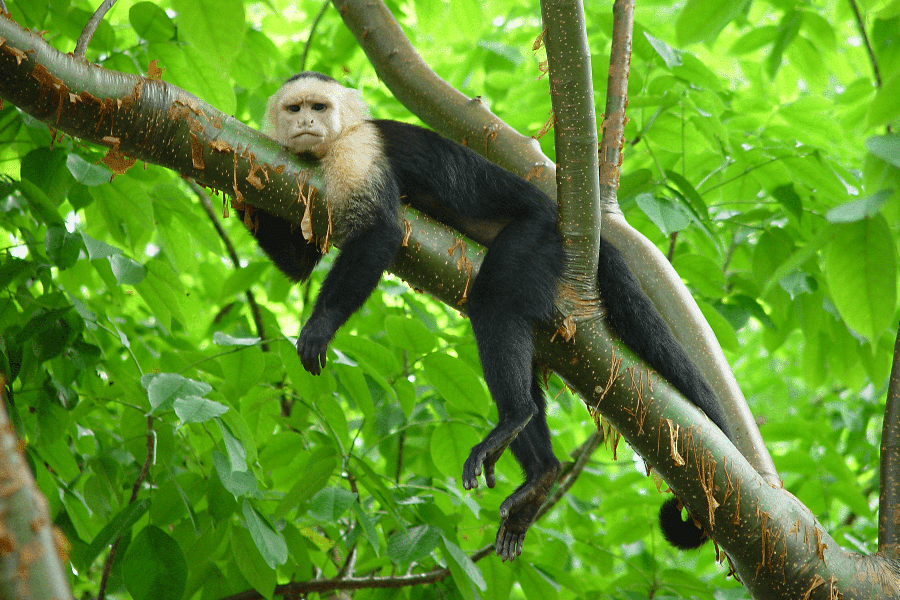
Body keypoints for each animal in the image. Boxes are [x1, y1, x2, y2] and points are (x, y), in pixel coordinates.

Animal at [248, 71, 732, 564]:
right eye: (294, 109)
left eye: (319, 107)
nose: (306, 122)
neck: (333, 144)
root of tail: (567, 226)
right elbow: (299, 264)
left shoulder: (357, 151)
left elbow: (380, 231)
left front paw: (319, 327)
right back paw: (541, 473)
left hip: (536, 237)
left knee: (493, 305)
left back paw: (513, 416)